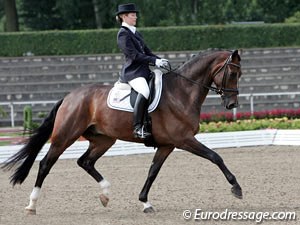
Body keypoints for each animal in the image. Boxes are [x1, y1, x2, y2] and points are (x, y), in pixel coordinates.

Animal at [1, 49, 241, 214]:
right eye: (232, 73)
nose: (232, 104)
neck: (181, 92)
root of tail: (70, 96)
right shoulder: (184, 139)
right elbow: (215, 157)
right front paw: (236, 188)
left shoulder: (167, 144)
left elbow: (152, 172)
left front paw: (145, 202)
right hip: (65, 136)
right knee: (45, 164)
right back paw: (32, 205)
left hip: (103, 140)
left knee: (85, 162)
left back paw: (105, 194)